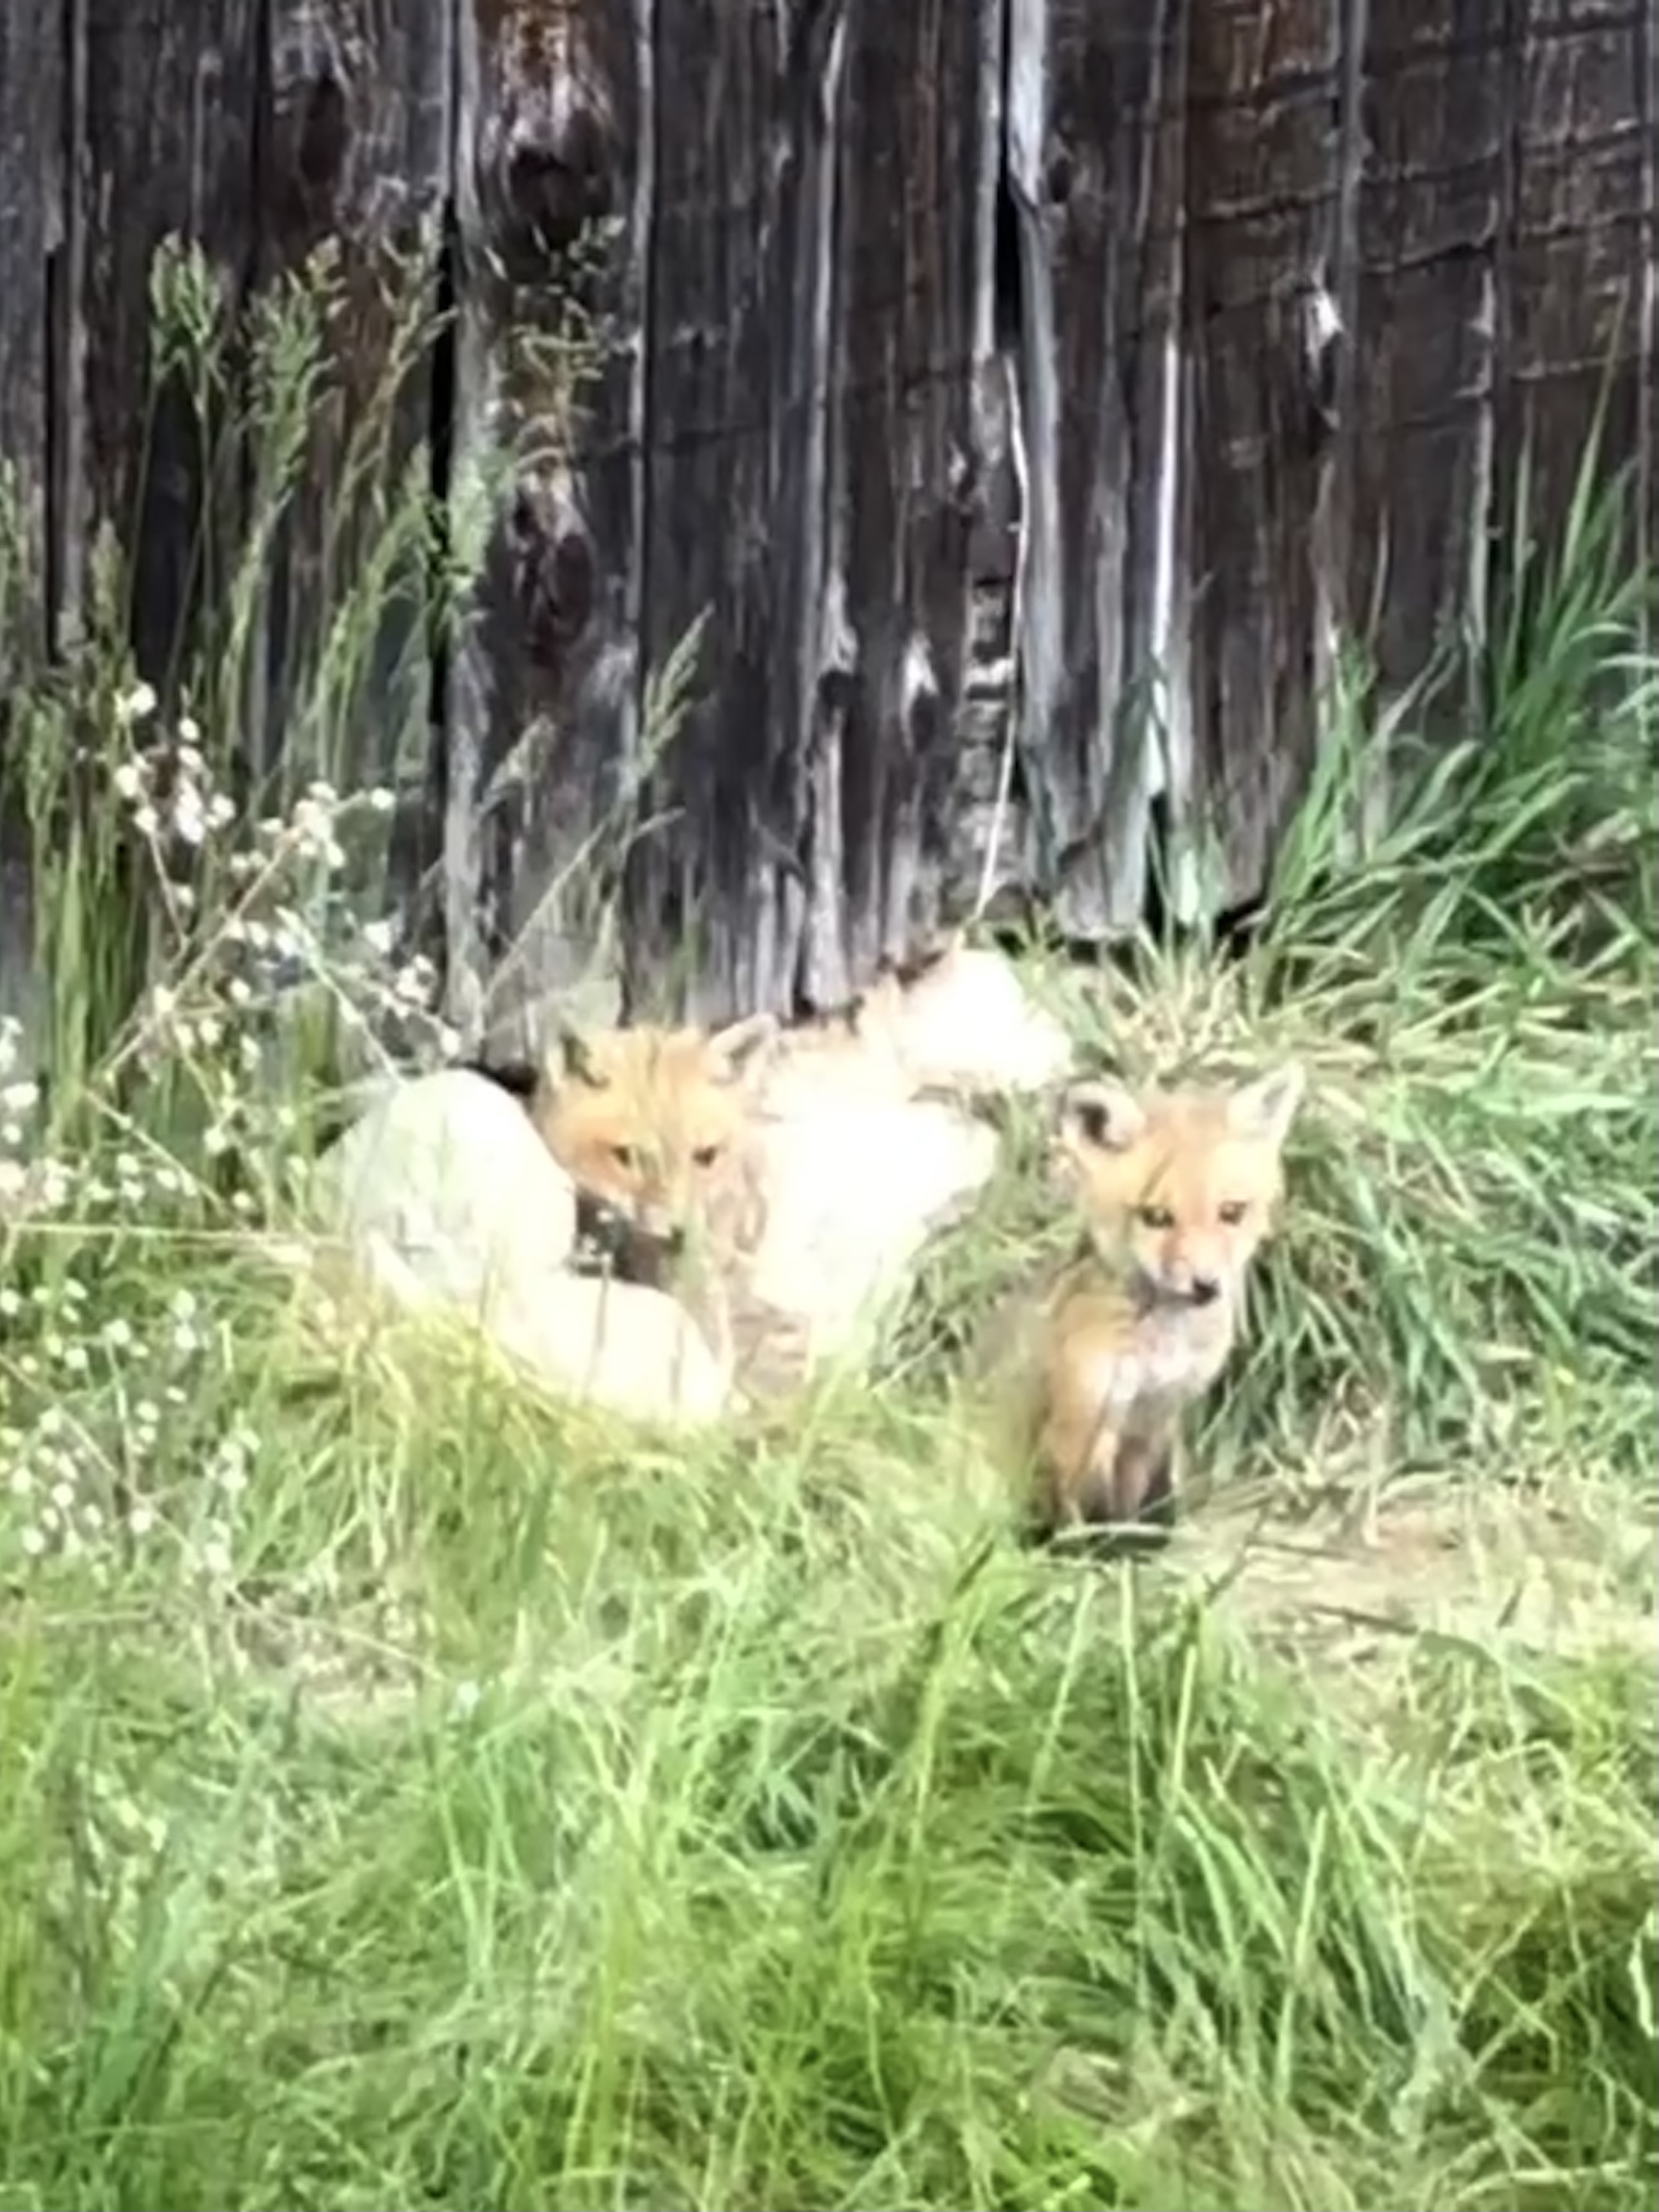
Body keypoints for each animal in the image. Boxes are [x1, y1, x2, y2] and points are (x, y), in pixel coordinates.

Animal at [982, 1063, 1306, 1545]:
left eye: (1231, 1212)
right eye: (1155, 1218)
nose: (1205, 1285)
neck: (1161, 1351)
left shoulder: (1155, 1418)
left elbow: (1139, 1507)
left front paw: (1140, 1544)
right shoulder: (1081, 1424)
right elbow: (1085, 1519)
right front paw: (1091, 1551)